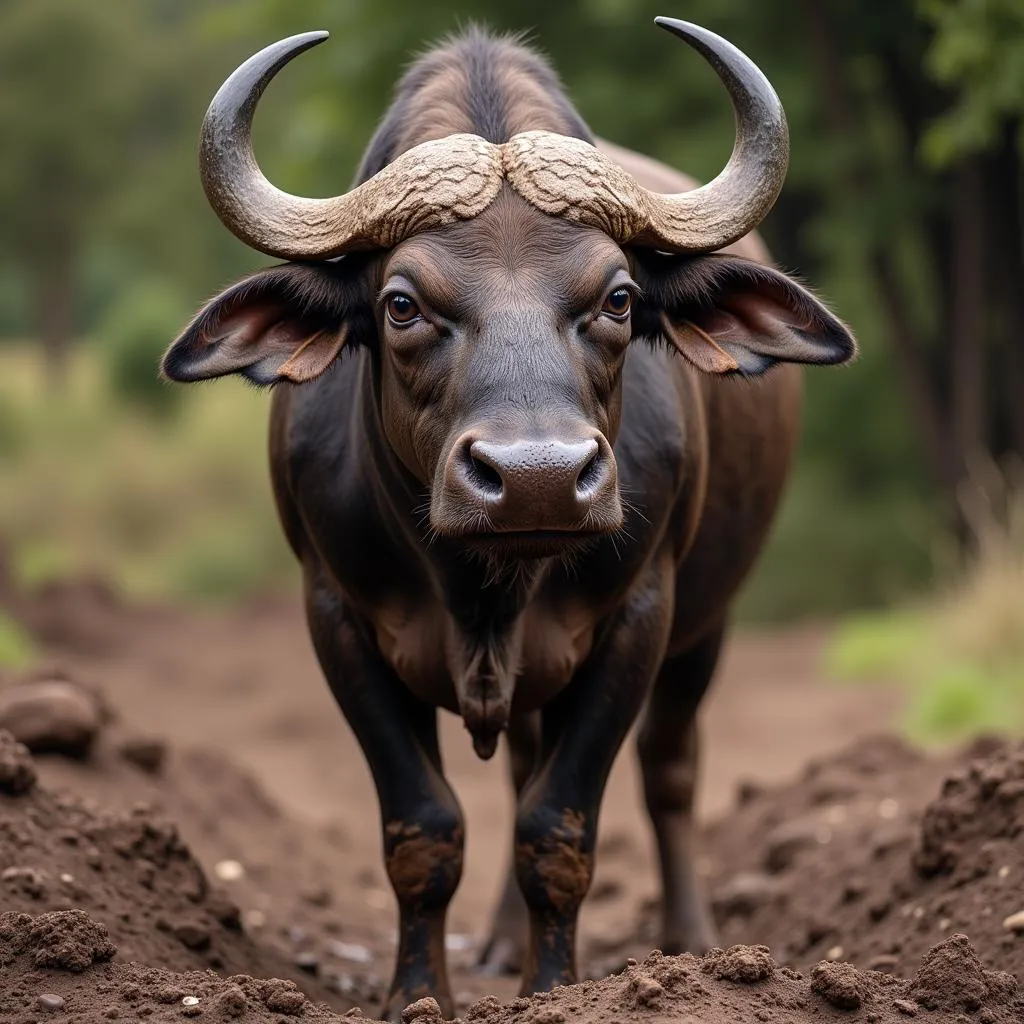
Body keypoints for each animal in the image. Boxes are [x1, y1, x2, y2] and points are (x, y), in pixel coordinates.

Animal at [165, 19, 856, 1019]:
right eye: (401, 304)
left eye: (617, 298)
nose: (538, 478)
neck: (480, 588)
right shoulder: (335, 616)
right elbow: (424, 828)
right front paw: (420, 992)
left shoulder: (640, 617)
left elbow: (556, 829)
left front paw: (556, 987)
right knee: (526, 758)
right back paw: (496, 942)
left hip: (708, 623)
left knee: (671, 768)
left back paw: (689, 940)